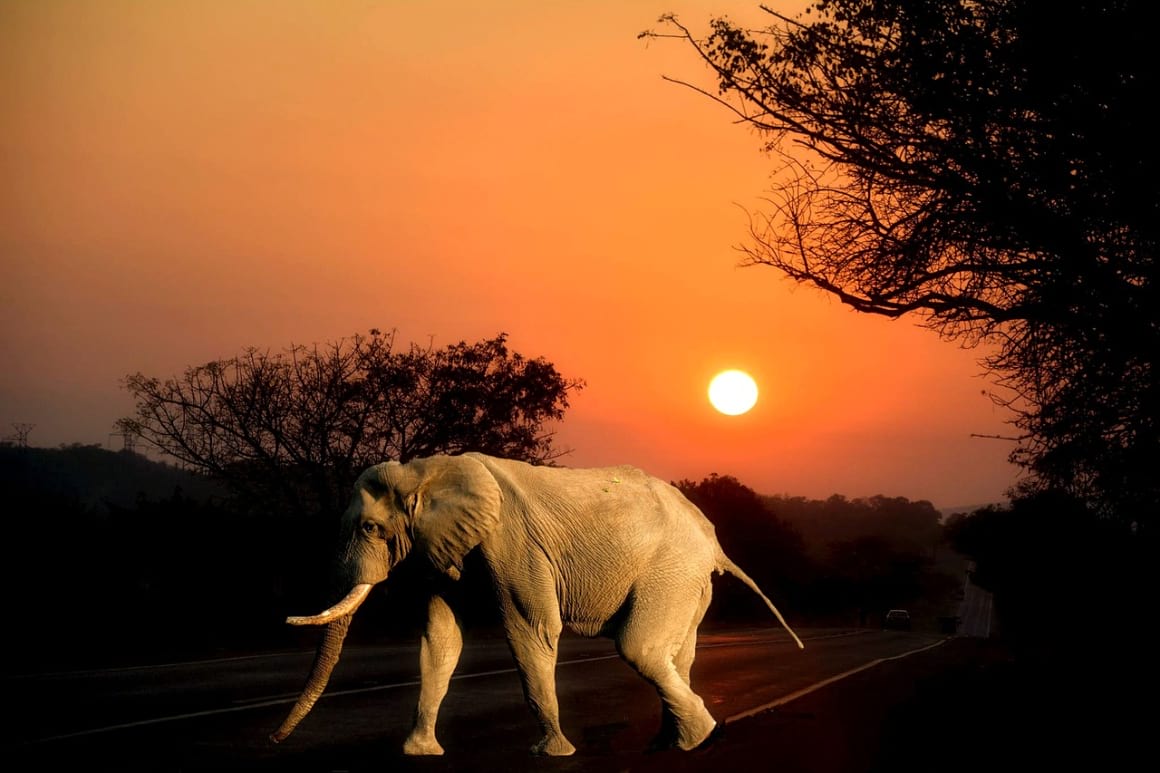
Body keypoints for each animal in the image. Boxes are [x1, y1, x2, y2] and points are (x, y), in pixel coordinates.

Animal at [269, 452, 807, 752]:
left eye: (369, 528)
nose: (273, 741)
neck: (427, 470)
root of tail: (713, 541)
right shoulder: (442, 549)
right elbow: (440, 641)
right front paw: (418, 752)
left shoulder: (512, 545)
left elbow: (532, 632)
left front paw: (551, 752)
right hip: (687, 583)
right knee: (677, 655)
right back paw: (674, 744)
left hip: (671, 571)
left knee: (641, 649)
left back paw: (702, 738)